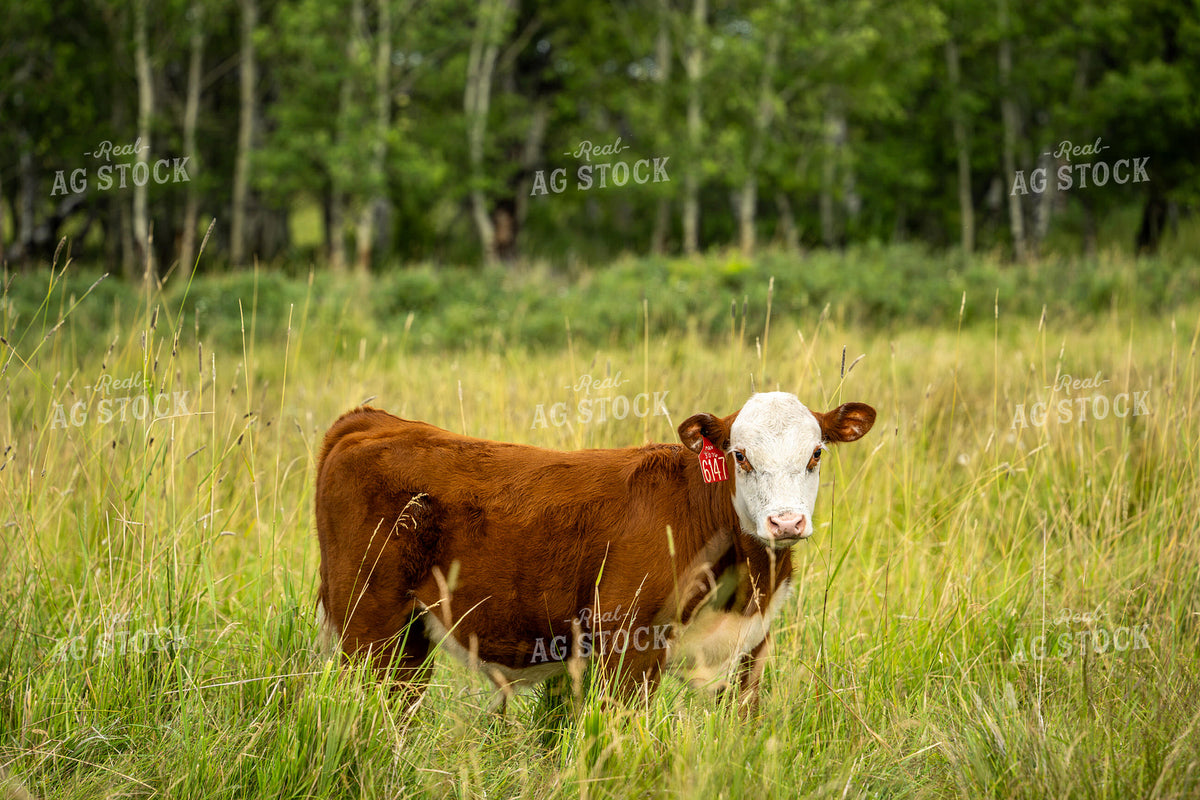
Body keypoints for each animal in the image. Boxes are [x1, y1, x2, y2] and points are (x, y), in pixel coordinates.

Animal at [314, 392, 875, 714]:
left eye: (816, 453)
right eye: (740, 456)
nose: (786, 522)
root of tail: (371, 422)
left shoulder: (750, 649)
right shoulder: (626, 643)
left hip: (406, 639)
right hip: (368, 625)